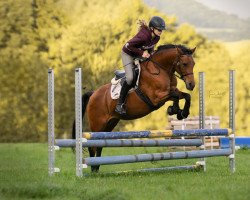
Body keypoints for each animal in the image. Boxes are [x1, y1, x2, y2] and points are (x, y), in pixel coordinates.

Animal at [71, 43, 196, 172]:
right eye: (184, 64)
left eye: (193, 64)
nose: (191, 85)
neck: (161, 70)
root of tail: (93, 94)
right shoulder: (157, 97)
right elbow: (176, 96)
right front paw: (175, 110)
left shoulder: (170, 92)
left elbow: (185, 96)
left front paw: (181, 112)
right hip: (97, 124)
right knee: (92, 145)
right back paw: (93, 170)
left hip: (110, 123)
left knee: (100, 145)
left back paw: (96, 168)